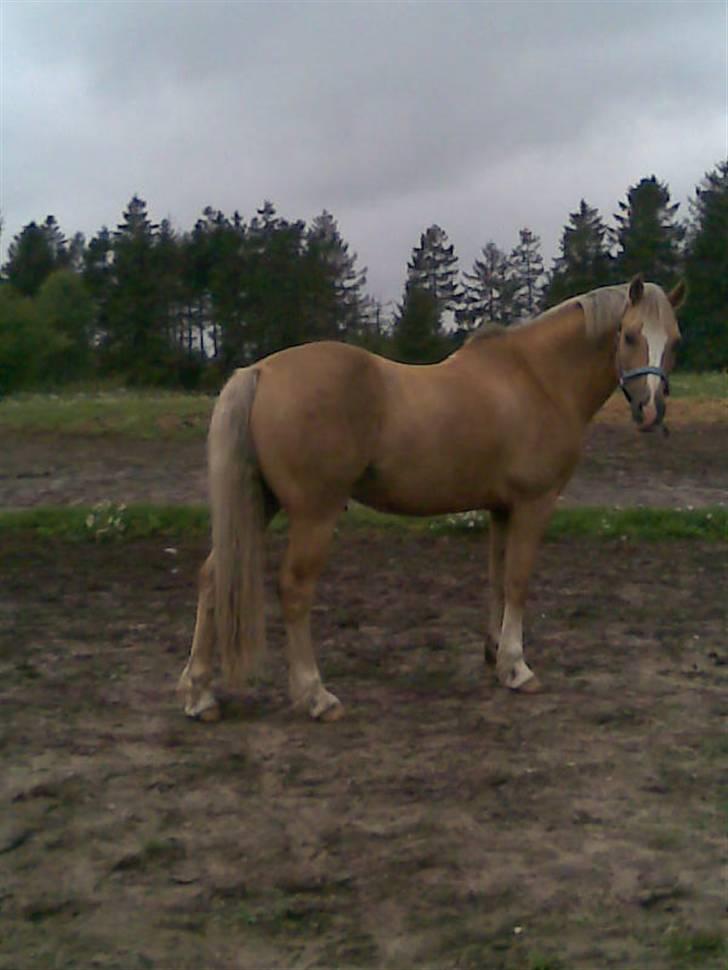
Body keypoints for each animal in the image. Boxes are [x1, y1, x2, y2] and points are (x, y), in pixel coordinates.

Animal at [177, 274, 685, 723]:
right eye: (629, 335)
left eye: (675, 340)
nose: (651, 411)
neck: (538, 377)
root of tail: (260, 371)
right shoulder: (533, 503)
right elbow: (518, 581)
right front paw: (517, 667)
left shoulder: (501, 508)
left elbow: (497, 579)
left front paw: (495, 654)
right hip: (313, 515)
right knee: (295, 589)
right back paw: (316, 695)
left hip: (259, 504)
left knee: (212, 576)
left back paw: (200, 695)